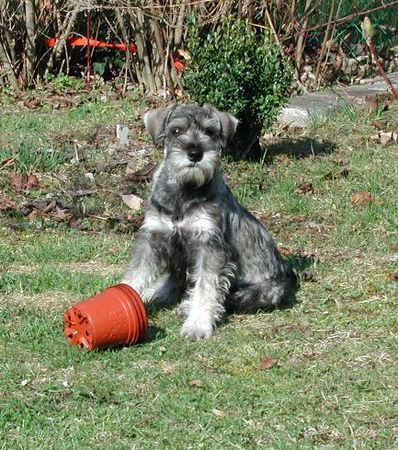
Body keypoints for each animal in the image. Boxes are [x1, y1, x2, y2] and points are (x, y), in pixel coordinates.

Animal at [123, 103, 296, 340]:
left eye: (210, 132)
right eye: (176, 130)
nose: (195, 153)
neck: (184, 191)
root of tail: (288, 277)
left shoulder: (210, 246)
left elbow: (207, 287)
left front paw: (197, 325)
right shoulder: (153, 238)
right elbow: (136, 273)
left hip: (258, 293)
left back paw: (187, 307)